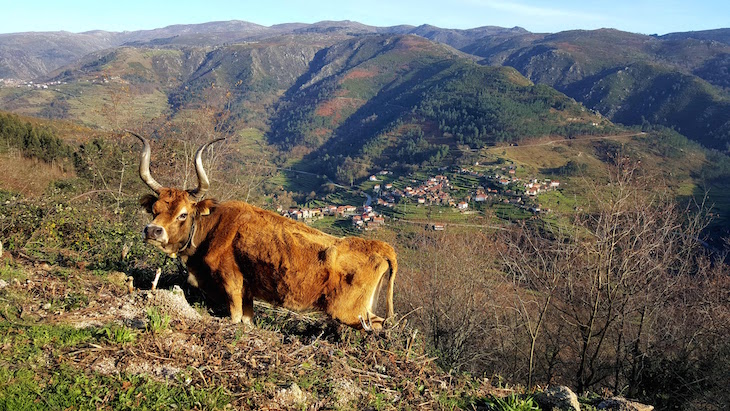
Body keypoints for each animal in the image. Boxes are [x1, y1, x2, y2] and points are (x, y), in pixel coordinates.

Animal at [128, 133, 396, 332]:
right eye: (154, 209)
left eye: (183, 214)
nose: (153, 231)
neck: (213, 228)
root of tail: (381, 247)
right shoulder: (248, 293)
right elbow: (247, 321)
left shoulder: (232, 284)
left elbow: (235, 318)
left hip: (351, 311)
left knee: (378, 327)